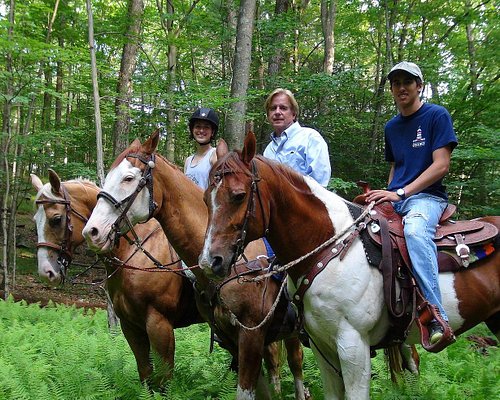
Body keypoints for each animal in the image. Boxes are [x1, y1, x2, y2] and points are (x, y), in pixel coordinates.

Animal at [30, 170, 203, 386]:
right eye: (35, 220)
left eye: (56, 219)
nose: (46, 272)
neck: (133, 254)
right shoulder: (130, 325)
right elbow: (145, 374)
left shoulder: (159, 324)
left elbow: (163, 380)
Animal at [197, 134, 498, 400]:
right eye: (205, 198)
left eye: (238, 195)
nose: (210, 261)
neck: (329, 250)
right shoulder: (322, 346)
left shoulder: (353, 346)